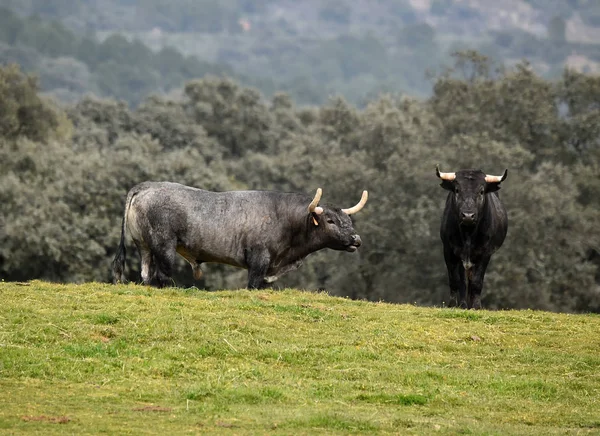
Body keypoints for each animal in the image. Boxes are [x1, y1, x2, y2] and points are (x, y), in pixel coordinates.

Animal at [110, 181, 368, 290]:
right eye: (330, 220)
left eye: (348, 221)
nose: (356, 239)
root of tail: (146, 186)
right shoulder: (258, 260)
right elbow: (252, 285)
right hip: (164, 246)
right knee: (162, 276)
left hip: (144, 246)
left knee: (146, 274)